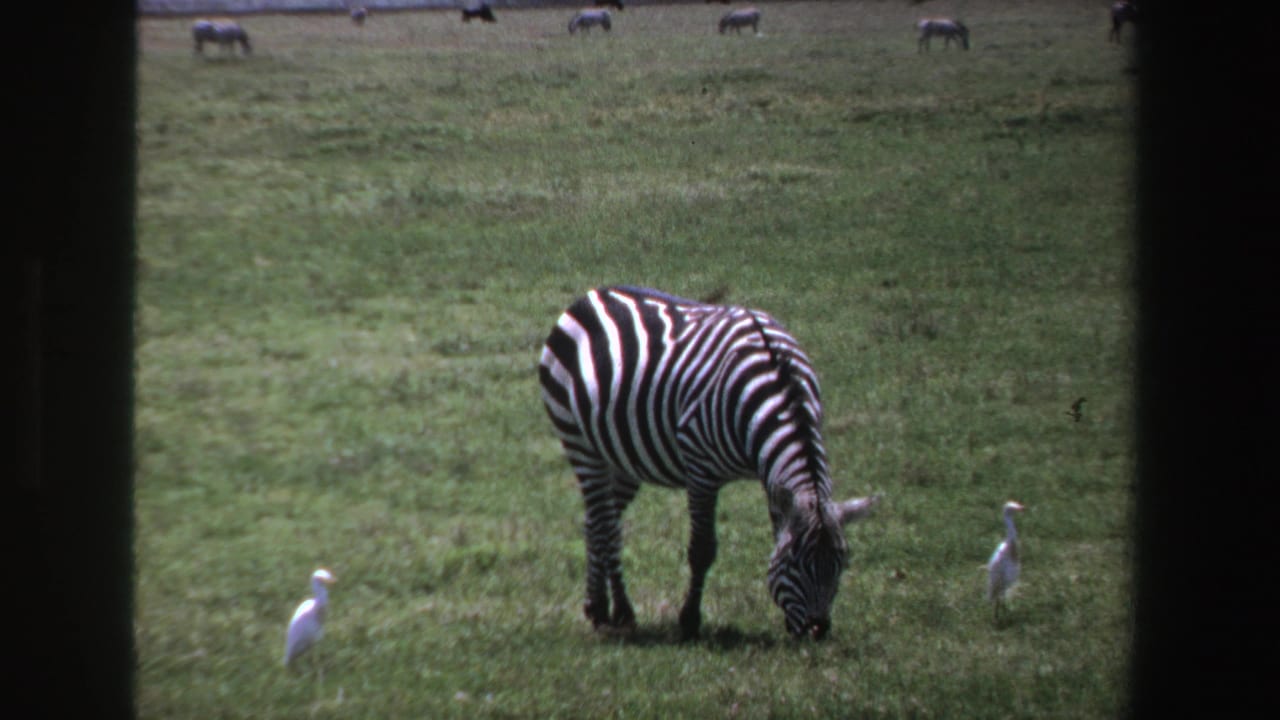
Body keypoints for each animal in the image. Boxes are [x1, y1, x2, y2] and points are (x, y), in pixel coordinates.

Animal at [540, 286, 880, 640]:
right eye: (796, 562)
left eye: (842, 563)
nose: (818, 630)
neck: (779, 387)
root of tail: (592, 294)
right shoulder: (701, 469)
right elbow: (702, 549)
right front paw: (689, 620)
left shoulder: (773, 480)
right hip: (580, 442)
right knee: (604, 524)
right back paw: (609, 609)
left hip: (621, 457)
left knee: (600, 522)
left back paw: (606, 609)